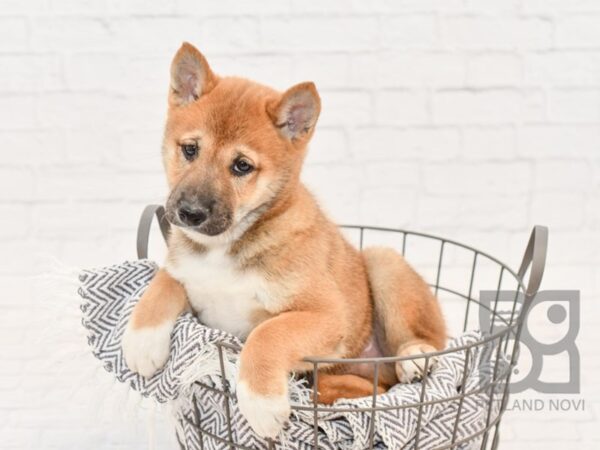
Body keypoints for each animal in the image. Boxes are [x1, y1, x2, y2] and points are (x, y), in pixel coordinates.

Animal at [122, 43, 446, 440]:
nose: (189, 213)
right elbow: (162, 283)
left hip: (384, 261)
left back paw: (415, 359)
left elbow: (268, 333)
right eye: (190, 149)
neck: (226, 246)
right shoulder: (187, 275)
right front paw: (141, 341)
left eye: (242, 166)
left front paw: (261, 402)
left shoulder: (326, 314)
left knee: (427, 339)